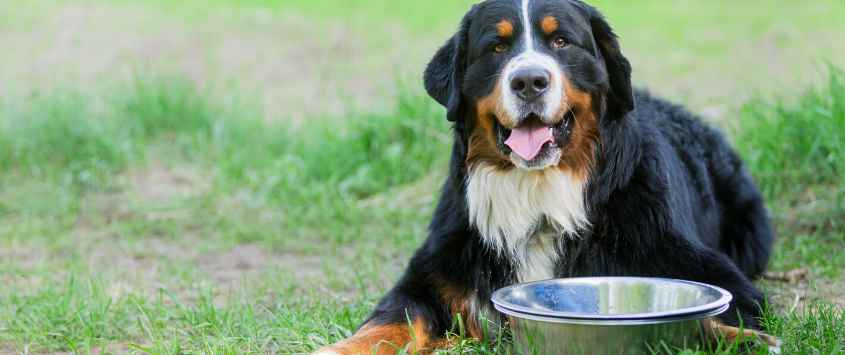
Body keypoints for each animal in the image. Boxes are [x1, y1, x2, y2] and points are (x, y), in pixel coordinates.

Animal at [314, 0, 776, 354]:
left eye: (561, 41)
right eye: (497, 47)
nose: (529, 81)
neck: (537, 199)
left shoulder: (719, 280)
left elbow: (707, 316)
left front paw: (739, 338)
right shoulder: (428, 279)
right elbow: (391, 322)